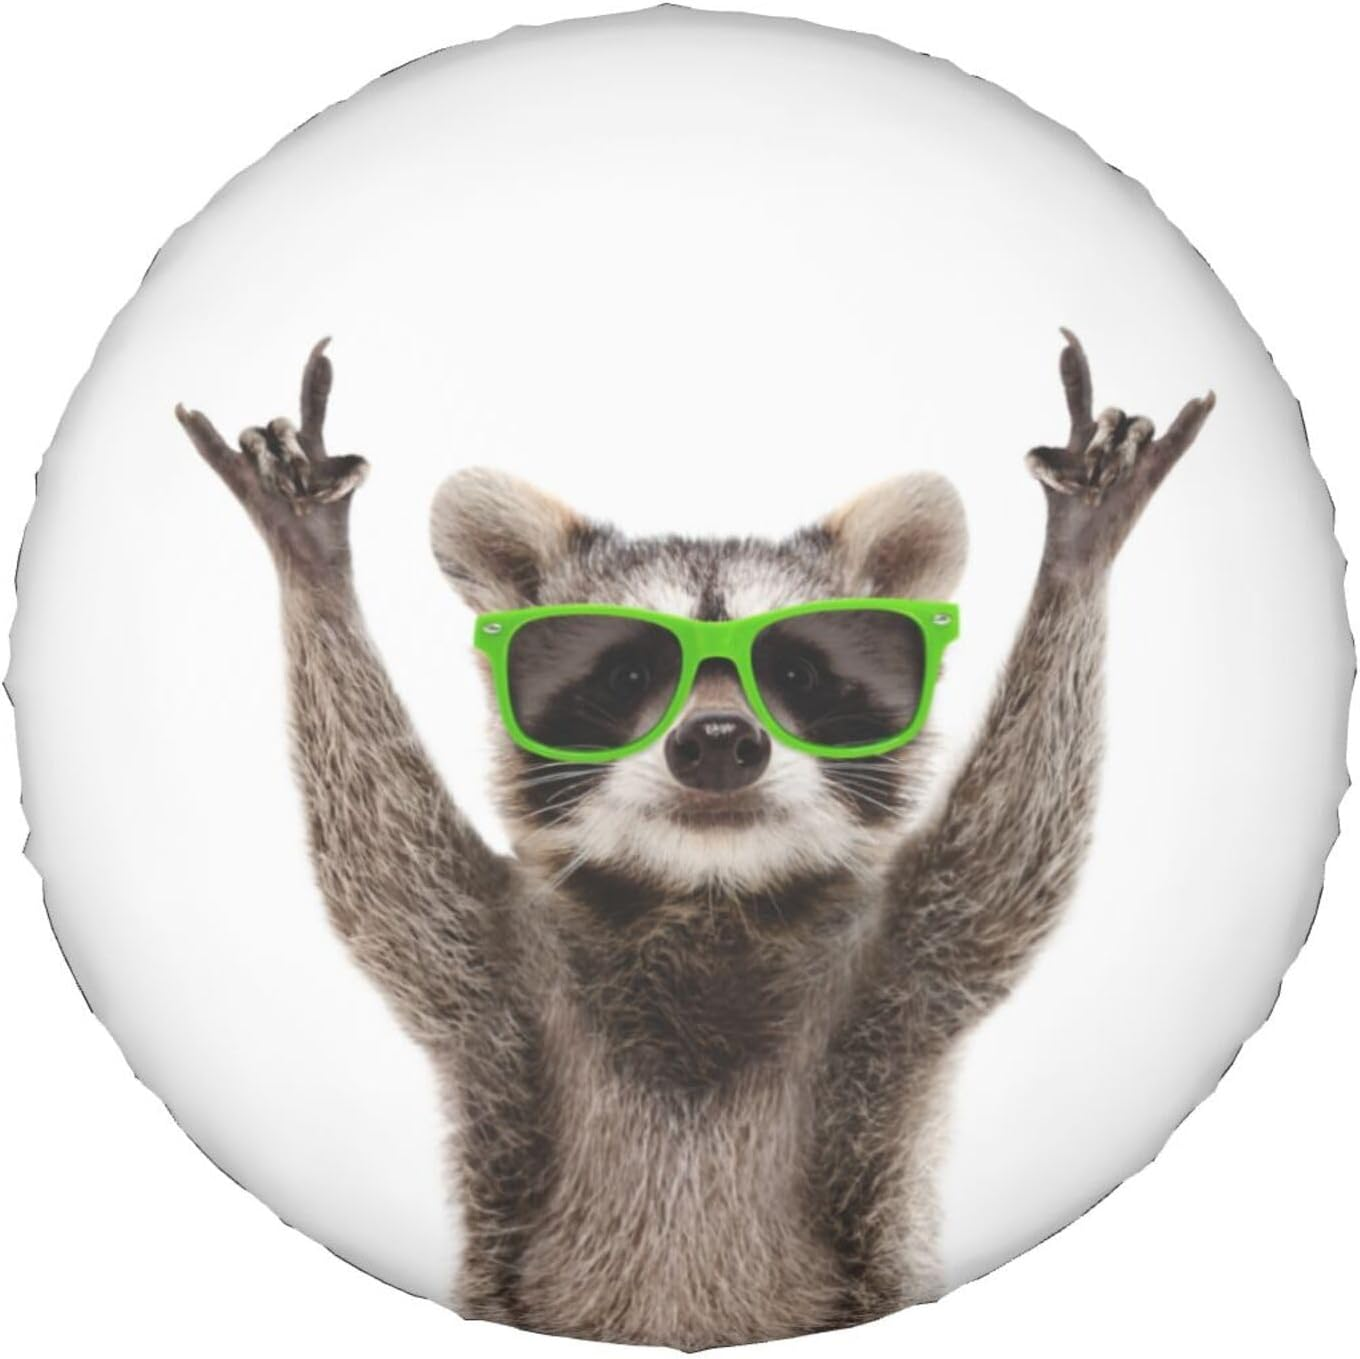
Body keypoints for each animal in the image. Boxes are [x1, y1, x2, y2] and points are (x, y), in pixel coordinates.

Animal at [176, 333, 1213, 1349]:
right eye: (630, 670)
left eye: (796, 671)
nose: (717, 742)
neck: (708, 894)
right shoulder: (496, 974)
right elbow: (383, 861)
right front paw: (313, 566)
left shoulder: (901, 968)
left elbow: (1011, 853)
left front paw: (1076, 555)